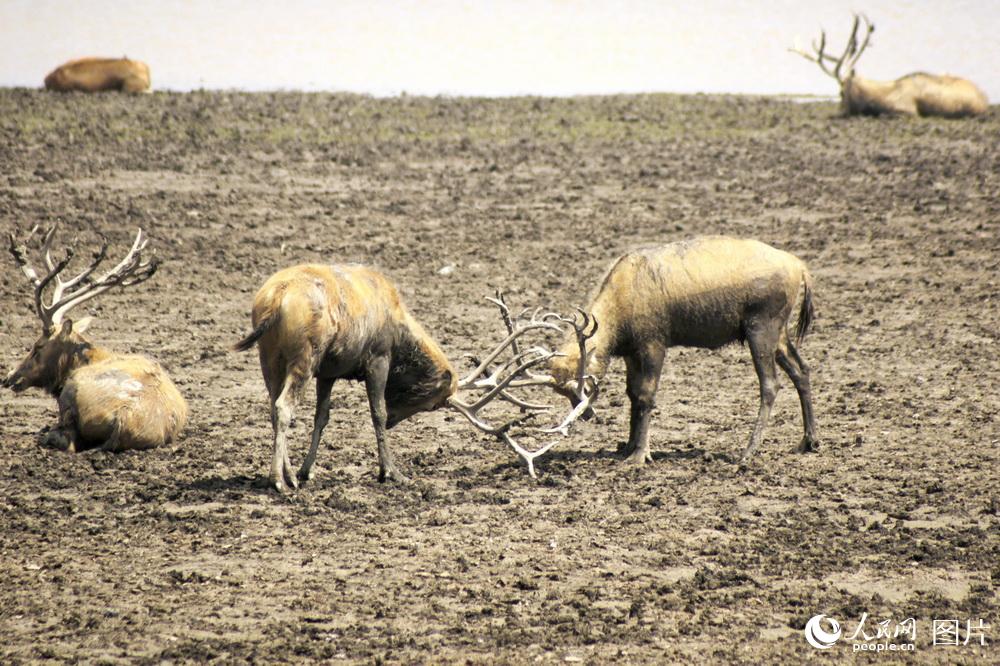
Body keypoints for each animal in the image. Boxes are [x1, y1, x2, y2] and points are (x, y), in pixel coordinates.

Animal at [233, 264, 592, 488]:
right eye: (434, 403)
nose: (397, 419)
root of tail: (275, 299)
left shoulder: (330, 371)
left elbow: (322, 417)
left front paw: (307, 471)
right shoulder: (377, 357)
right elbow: (376, 413)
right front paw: (391, 472)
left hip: (270, 358)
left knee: (274, 407)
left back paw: (287, 474)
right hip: (305, 356)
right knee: (284, 407)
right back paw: (278, 480)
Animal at [544, 237, 816, 462]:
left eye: (583, 384)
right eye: (562, 391)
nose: (587, 414)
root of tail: (800, 267)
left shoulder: (654, 343)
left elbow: (646, 394)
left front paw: (640, 454)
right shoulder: (632, 352)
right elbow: (632, 394)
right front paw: (627, 447)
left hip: (760, 327)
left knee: (770, 384)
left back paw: (748, 452)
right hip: (779, 333)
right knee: (801, 370)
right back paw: (809, 441)